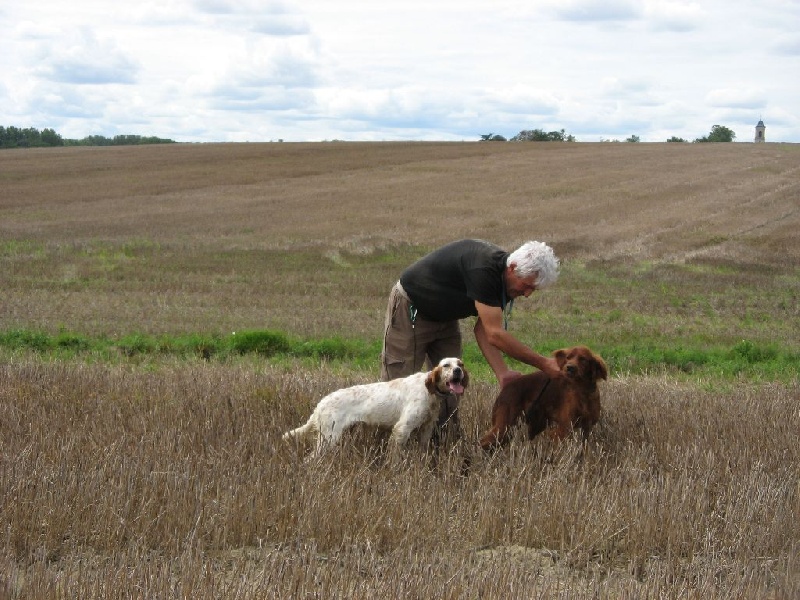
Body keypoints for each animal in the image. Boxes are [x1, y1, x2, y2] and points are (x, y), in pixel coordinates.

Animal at [283, 357, 469, 456]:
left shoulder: (426, 428)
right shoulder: (402, 428)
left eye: (460, 364)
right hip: (329, 437)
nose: (458, 371)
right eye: (446, 365)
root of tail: (321, 404)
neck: (428, 390)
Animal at [479, 346, 607, 451]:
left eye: (583, 359)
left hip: (533, 424)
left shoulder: (586, 428)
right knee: (484, 441)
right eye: (568, 357)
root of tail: (507, 387)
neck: (582, 392)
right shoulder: (563, 428)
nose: (569, 367)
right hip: (506, 424)